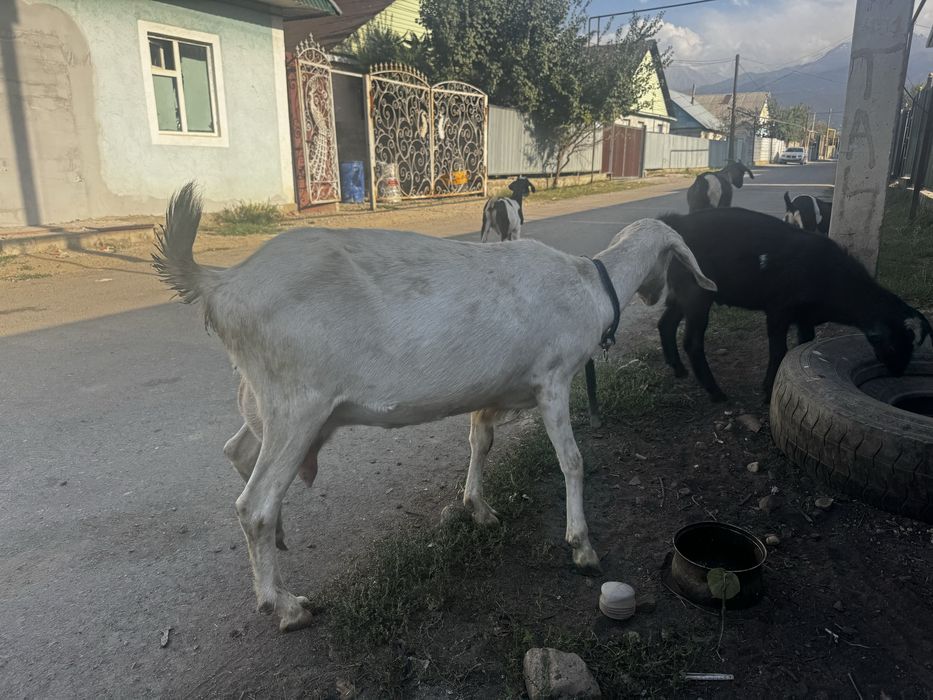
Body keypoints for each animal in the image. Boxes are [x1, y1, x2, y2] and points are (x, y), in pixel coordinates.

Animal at [153, 183, 716, 633]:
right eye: (673, 261)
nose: (655, 297)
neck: (590, 285)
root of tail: (220, 283)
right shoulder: (553, 379)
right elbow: (572, 461)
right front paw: (582, 546)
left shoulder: (492, 392)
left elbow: (481, 442)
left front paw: (478, 508)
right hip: (298, 406)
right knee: (254, 505)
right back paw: (286, 605)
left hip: (275, 402)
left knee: (239, 451)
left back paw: (281, 544)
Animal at [650, 207, 931, 403]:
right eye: (894, 344)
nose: (898, 372)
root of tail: (676, 225)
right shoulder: (779, 310)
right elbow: (779, 350)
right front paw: (767, 391)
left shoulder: (804, 317)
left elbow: (802, 346)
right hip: (697, 293)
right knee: (692, 342)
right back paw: (716, 392)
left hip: (682, 294)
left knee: (665, 323)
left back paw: (678, 369)